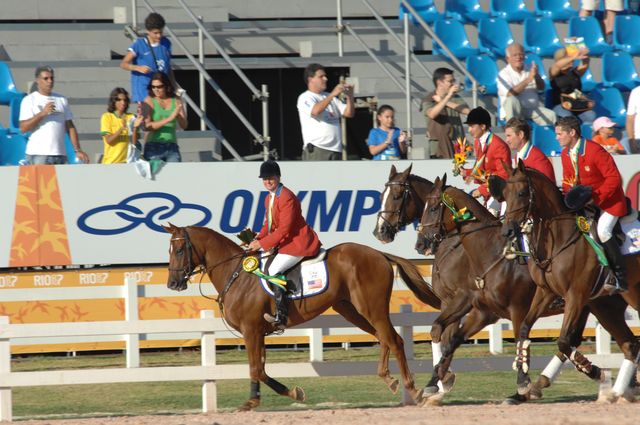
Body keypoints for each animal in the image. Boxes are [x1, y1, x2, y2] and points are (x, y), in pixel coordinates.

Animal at [162, 224, 442, 410]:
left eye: (179, 249)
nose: (173, 283)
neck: (236, 274)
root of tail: (379, 254)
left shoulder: (251, 330)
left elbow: (256, 369)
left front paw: (255, 401)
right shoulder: (258, 332)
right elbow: (261, 369)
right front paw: (290, 394)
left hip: (370, 307)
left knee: (394, 340)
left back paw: (413, 390)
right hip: (352, 309)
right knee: (383, 337)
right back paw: (389, 379)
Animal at [492, 161, 636, 400]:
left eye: (521, 193)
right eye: (503, 194)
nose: (508, 231)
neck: (557, 238)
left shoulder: (575, 296)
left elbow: (563, 340)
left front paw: (594, 370)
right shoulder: (545, 292)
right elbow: (524, 330)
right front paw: (523, 381)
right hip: (606, 307)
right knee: (630, 344)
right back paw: (619, 392)